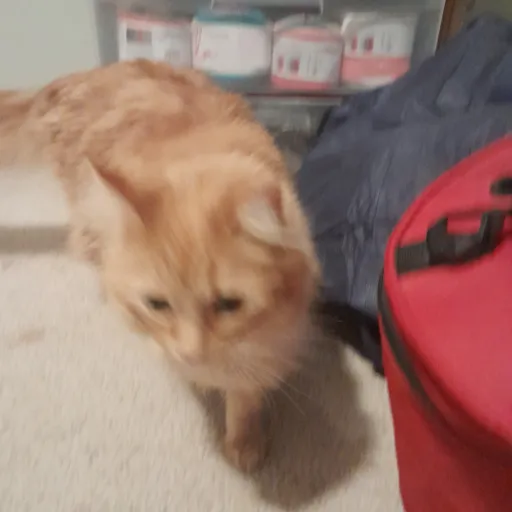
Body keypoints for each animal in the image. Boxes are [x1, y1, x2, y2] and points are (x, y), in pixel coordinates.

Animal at [0, 60, 320, 472]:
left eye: (228, 304)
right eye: (157, 305)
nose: (189, 354)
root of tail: (96, 69)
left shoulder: (275, 332)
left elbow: (246, 386)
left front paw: (244, 438)